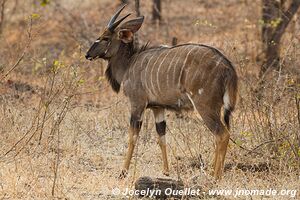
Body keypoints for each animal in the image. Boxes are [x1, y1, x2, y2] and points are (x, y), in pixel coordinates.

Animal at [85, 5, 238, 180]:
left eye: (105, 38)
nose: (87, 54)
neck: (129, 65)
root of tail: (228, 67)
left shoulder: (137, 104)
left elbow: (132, 137)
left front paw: (123, 172)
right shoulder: (158, 108)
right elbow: (161, 137)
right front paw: (166, 171)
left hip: (205, 106)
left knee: (222, 134)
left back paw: (216, 177)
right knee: (221, 134)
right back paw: (213, 172)